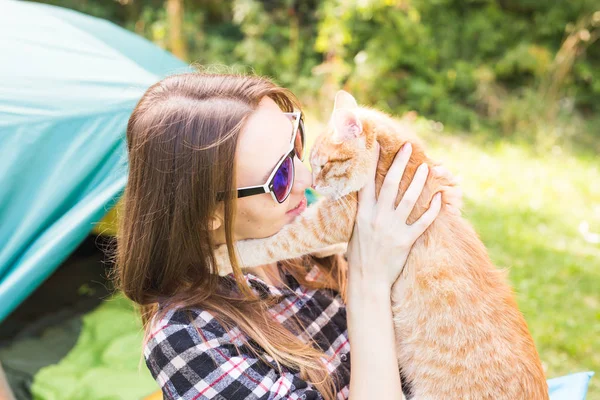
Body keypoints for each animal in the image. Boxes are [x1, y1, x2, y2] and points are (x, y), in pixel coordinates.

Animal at [216, 91, 548, 400]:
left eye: (322, 165)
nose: (312, 184)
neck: (399, 158)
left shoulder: (331, 219)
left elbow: (279, 240)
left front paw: (223, 256)